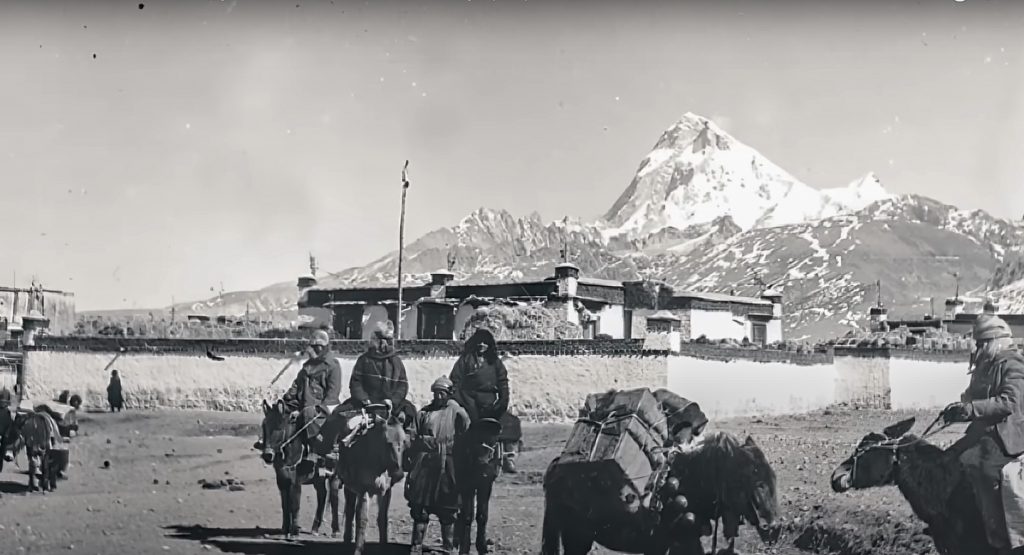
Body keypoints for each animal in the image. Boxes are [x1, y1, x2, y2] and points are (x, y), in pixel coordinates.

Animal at [260, 401, 344, 540]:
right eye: (264, 426)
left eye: (279, 427)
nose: (267, 455)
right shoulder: (282, 482)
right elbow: (285, 506)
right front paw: (285, 530)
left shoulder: (295, 482)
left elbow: (295, 506)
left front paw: (294, 532)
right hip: (318, 478)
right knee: (322, 495)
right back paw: (315, 528)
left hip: (334, 475)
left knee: (334, 498)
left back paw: (335, 530)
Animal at [337, 405, 413, 555]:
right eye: (387, 443)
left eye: (405, 442)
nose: (398, 474)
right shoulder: (364, 491)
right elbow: (362, 520)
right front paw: (358, 550)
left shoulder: (386, 492)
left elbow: (382, 519)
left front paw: (383, 547)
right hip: (349, 488)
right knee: (350, 511)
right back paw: (348, 541)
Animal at [456, 419, 503, 552]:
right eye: (473, 441)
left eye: (493, 442)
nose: (484, 470)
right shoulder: (466, 486)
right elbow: (467, 516)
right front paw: (464, 547)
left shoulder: (486, 485)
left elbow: (482, 515)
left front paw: (482, 546)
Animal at [544, 430, 774, 555]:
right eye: (754, 479)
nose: (773, 528)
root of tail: (555, 468)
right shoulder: (667, 543)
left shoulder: (680, 543)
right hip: (576, 537)